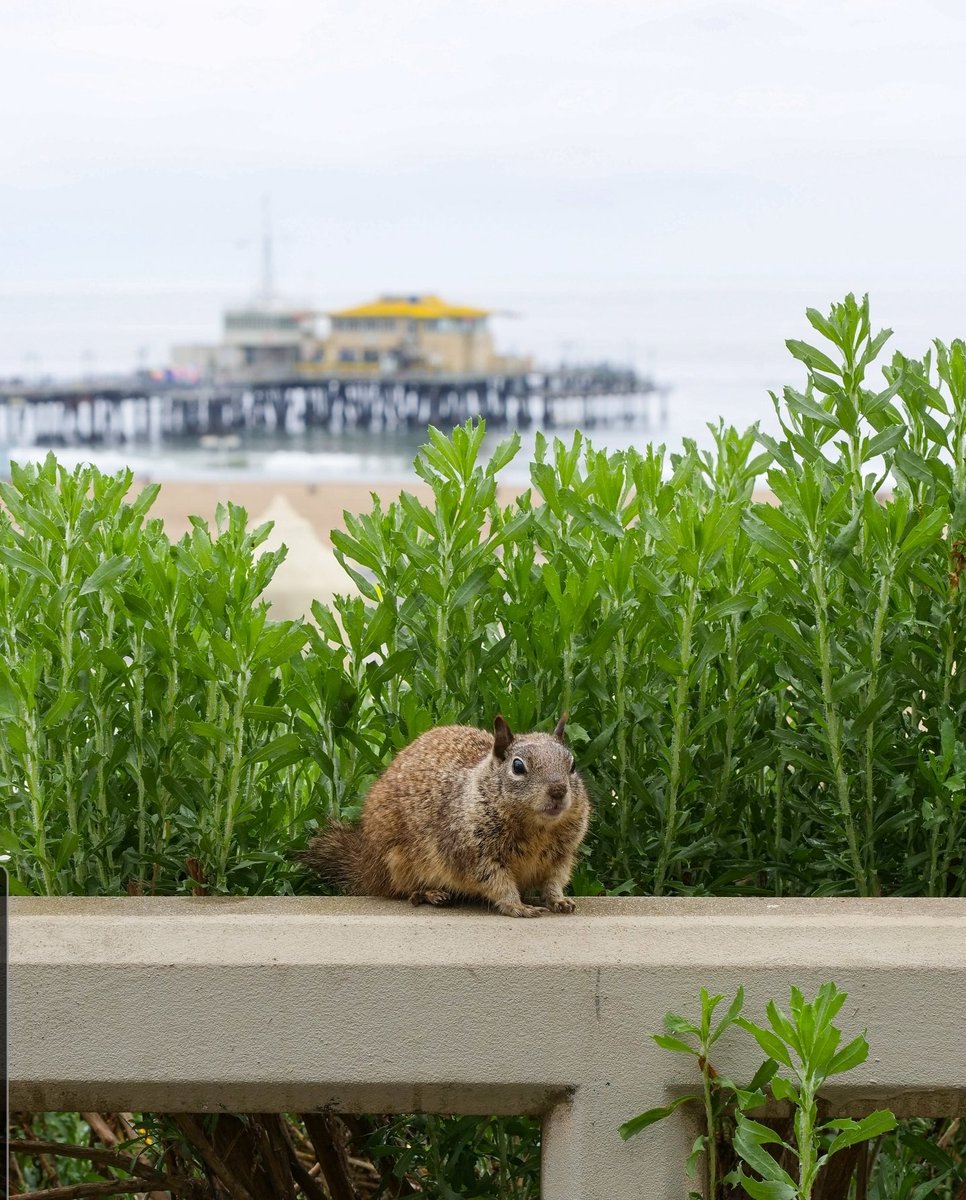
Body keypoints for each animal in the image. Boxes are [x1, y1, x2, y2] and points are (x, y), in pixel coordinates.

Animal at [298, 713, 590, 918]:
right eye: (518, 766)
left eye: (573, 765)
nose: (558, 791)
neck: (538, 828)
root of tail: (366, 864)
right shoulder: (473, 854)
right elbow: (497, 883)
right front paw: (517, 906)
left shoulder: (562, 856)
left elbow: (554, 880)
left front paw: (558, 900)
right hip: (397, 863)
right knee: (400, 890)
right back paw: (429, 893)